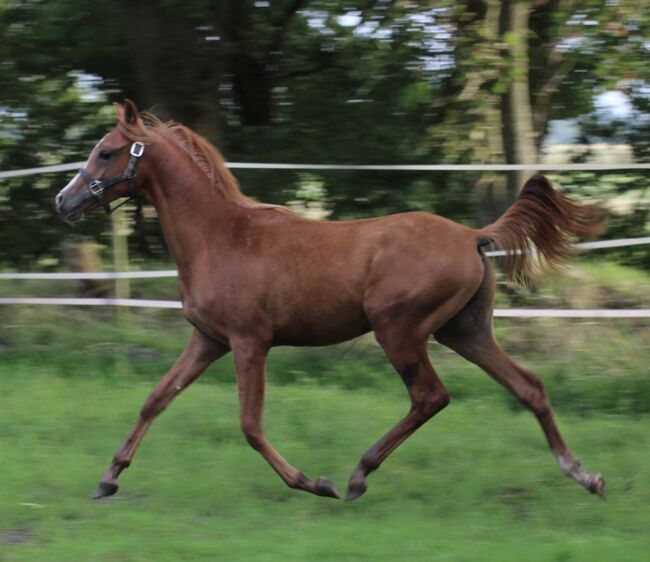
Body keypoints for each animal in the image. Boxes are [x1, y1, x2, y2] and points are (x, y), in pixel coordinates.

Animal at [55, 99, 608, 498]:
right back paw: (586, 476)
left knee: (430, 396)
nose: (64, 200)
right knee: (528, 387)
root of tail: (472, 236)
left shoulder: (249, 342)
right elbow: (155, 399)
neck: (222, 236)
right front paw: (109, 478)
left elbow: (250, 424)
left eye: (107, 151)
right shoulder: (208, 340)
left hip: (399, 330)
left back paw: (359, 474)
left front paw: (311, 482)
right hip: (465, 331)